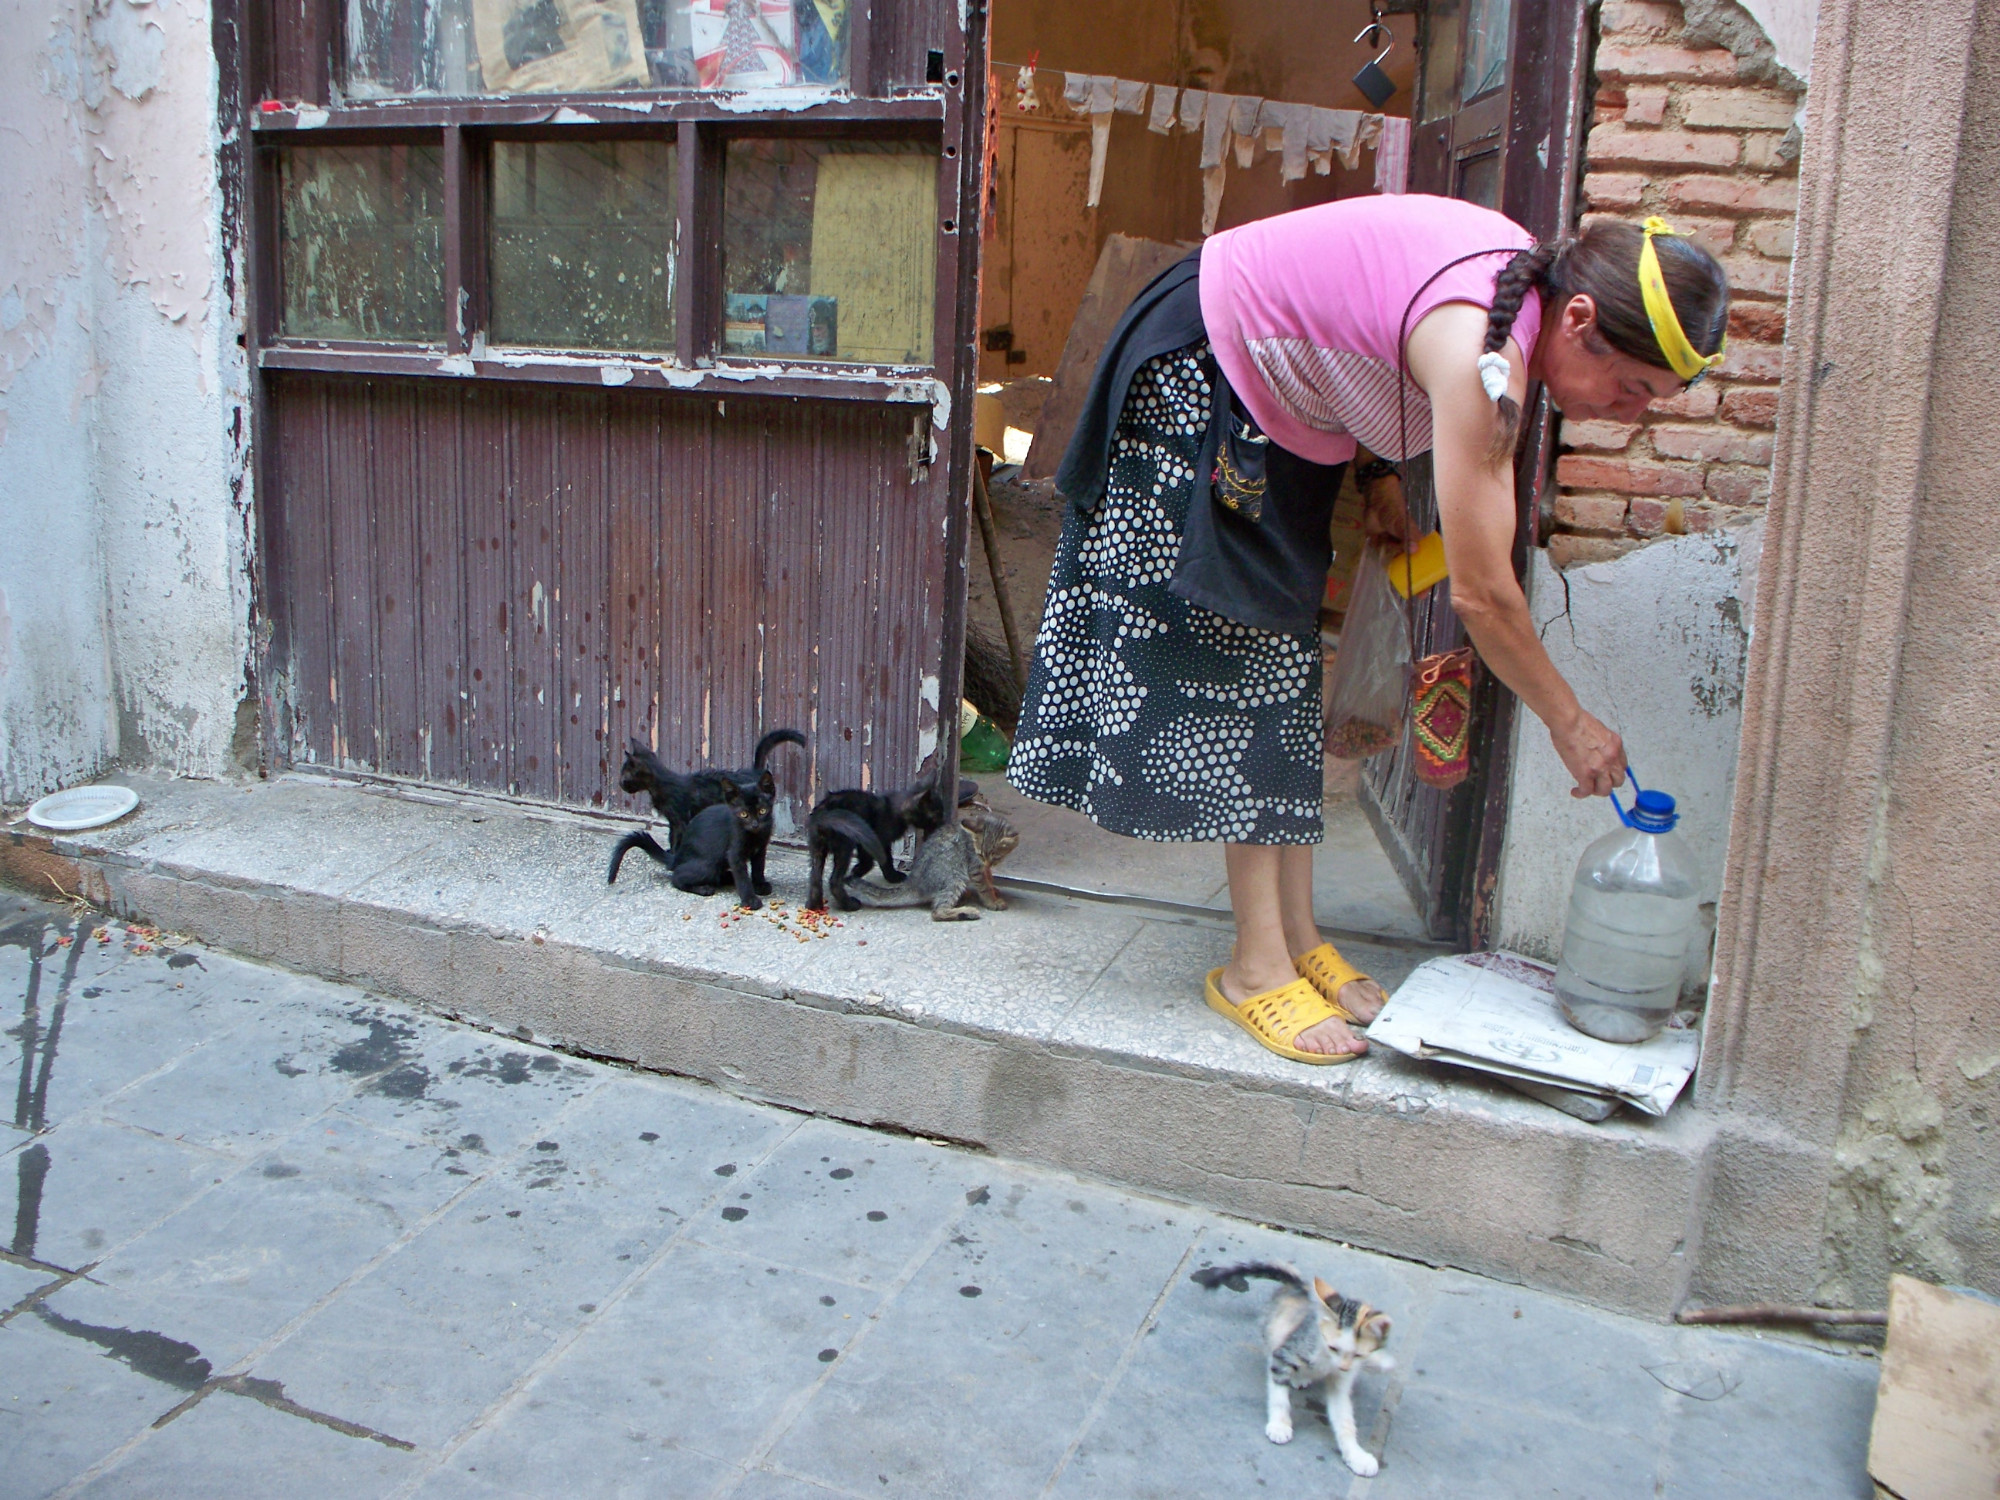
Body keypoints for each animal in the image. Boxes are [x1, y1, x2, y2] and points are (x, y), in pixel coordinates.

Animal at [604, 780, 768, 912]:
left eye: (762, 811)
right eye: (744, 814)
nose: (755, 824)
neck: (755, 835)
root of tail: (677, 857)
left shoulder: (761, 850)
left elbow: (759, 867)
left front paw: (760, 884)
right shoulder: (734, 853)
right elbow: (741, 876)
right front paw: (750, 900)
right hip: (708, 865)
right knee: (677, 877)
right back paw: (704, 888)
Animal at [612, 732, 800, 900]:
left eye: (625, 775)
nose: (620, 784)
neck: (662, 785)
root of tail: (756, 772)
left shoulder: (681, 818)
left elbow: (677, 840)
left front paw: (674, 856)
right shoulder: (674, 821)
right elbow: (672, 838)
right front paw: (671, 853)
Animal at [800, 776, 956, 916]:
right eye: (937, 815)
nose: (945, 823)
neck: (896, 809)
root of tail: (823, 813)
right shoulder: (875, 839)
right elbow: (883, 860)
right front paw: (888, 876)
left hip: (817, 848)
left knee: (815, 879)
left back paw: (814, 905)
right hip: (845, 845)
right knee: (834, 881)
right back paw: (850, 904)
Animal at [1200, 1256, 1392, 1480]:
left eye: (1357, 1355)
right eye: (1333, 1348)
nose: (1343, 1367)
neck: (1326, 1360)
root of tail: (1299, 1287)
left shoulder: (1341, 1383)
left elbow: (1344, 1420)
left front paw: (1356, 1456)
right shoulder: (1283, 1355)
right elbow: (1279, 1396)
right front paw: (1279, 1425)